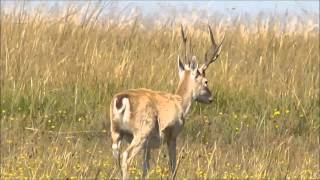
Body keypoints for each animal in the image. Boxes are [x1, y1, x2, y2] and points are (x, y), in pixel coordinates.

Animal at [109, 25, 224, 179]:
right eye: (206, 81)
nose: (211, 98)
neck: (180, 102)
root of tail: (121, 100)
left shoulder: (148, 146)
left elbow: (145, 168)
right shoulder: (172, 135)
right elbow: (173, 166)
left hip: (116, 132)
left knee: (117, 156)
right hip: (141, 132)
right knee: (126, 156)